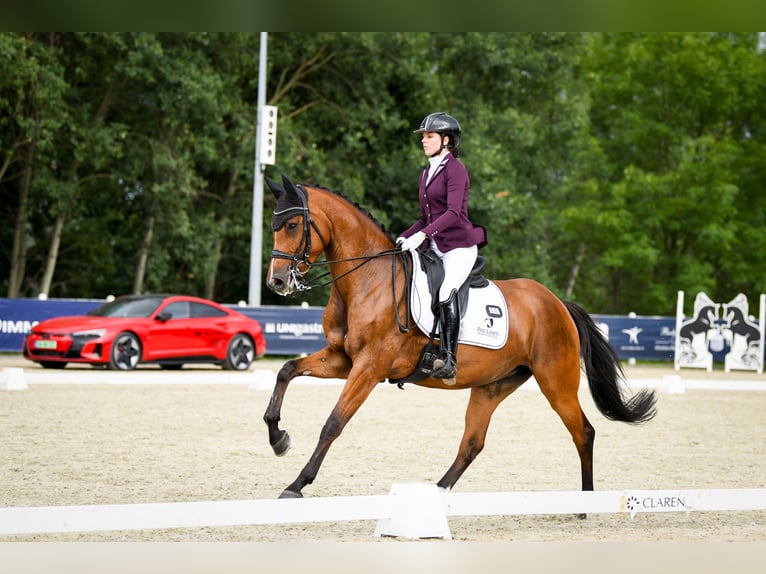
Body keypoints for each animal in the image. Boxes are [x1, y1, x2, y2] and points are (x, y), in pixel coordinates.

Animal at [266, 177, 660, 504]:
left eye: (292, 225)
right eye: (274, 225)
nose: (277, 282)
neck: (368, 279)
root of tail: (558, 303)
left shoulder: (368, 368)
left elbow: (333, 423)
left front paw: (296, 484)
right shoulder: (342, 359)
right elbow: (287, 370)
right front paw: (278, 438)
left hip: (556, 382)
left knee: (584, 433)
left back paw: (584, 505)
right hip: (492, 386)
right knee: (472, 443)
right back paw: (433, 496)